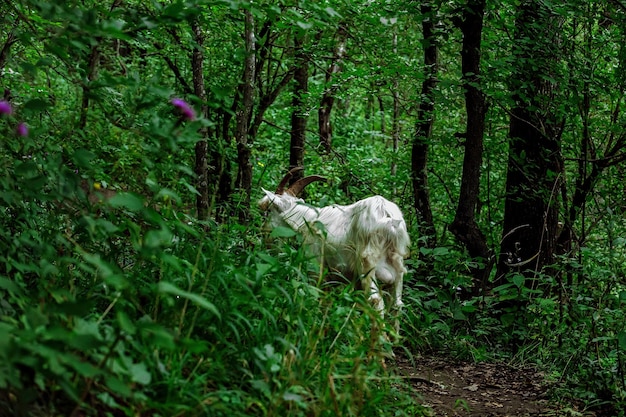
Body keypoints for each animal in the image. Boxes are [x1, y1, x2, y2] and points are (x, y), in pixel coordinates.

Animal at [256, 166, 408, 332]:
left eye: (268, 211)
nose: (264, 234)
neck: (305, 220)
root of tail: (387, 217)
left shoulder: (315, 265)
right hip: (397, 268)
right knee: (397, 305)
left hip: (367, 265)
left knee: (375, 300)